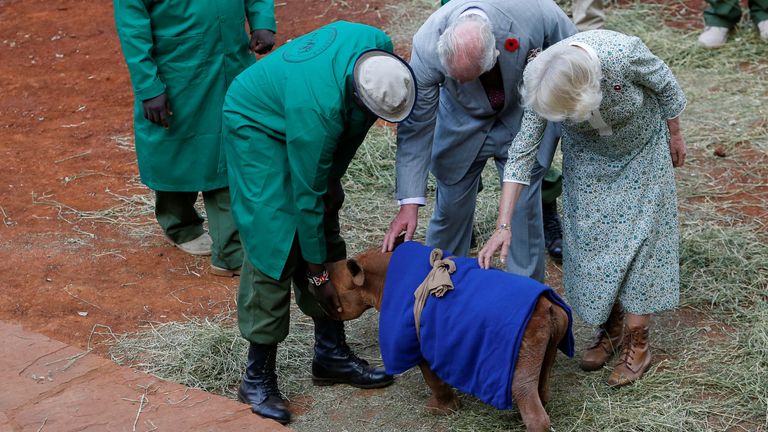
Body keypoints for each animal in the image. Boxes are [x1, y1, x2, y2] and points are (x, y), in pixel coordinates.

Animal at [328, 241, 572, 430]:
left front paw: (440, 410)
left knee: (521, 386)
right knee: (543, 372)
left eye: (336, 293)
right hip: (548, 326)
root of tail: (548, 307)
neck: (376, 280)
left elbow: (432, 377)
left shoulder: (416, 339)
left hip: (526, 336)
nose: (325, 311)